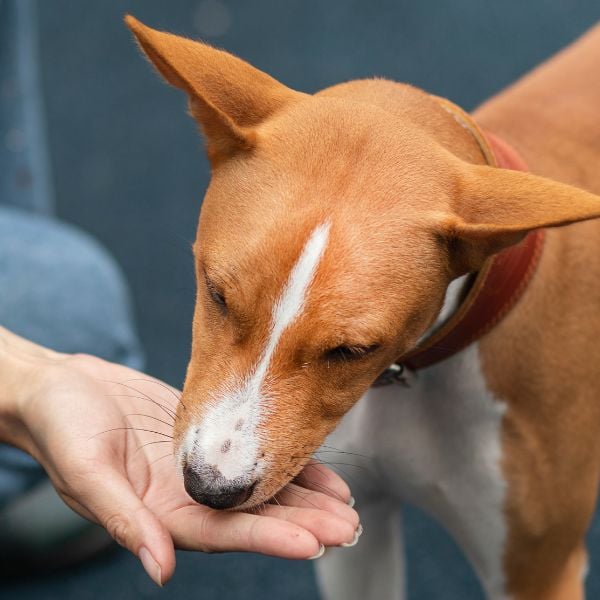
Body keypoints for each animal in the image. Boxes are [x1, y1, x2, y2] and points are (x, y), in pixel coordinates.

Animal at [127, 18, 600, 600]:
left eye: (353, 351)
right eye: (217, 294)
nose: (211, 487)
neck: (410, 375)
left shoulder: (539, 573)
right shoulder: (356, 529)